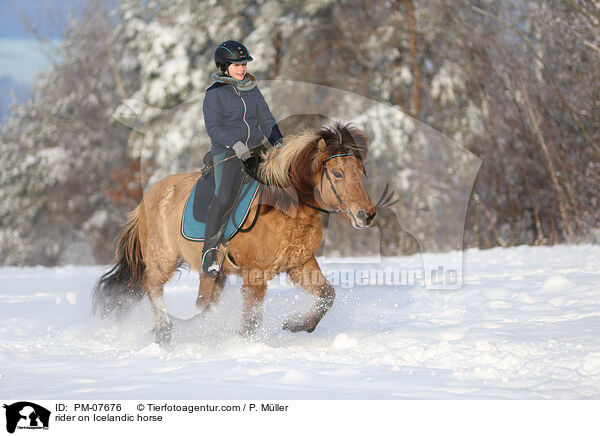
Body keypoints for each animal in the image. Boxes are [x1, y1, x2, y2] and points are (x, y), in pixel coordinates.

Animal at [90, 122, 376, 344]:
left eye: (361, 172)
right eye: (337, 174)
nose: (367, 214)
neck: (285, 208)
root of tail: (148, 197)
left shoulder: (301, 264)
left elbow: (327, 295)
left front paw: (297, 324)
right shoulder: (254, 276)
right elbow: (250, 323)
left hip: (212, 274)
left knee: (201, 304)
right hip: (163, 260)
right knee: (153, 288)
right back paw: (164, 333)